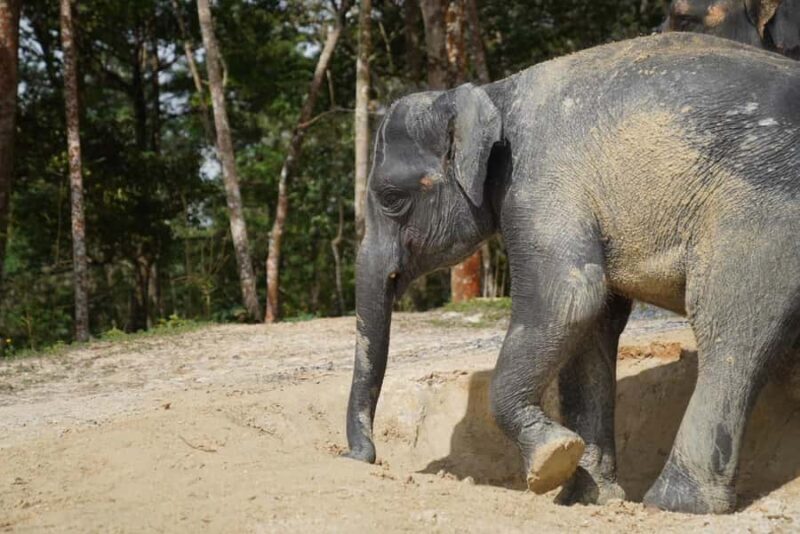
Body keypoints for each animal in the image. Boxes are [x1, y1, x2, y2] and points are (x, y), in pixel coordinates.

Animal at [343, 32, 800, 514]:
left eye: (391, 198)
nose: (361, 457)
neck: (494, 93)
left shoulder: (539, 181)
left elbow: (570, 297)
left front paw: (552, 460)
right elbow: (593, 324)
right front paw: (585, 498)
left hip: (758, 212)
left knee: (730, 322)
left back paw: (673, 503)